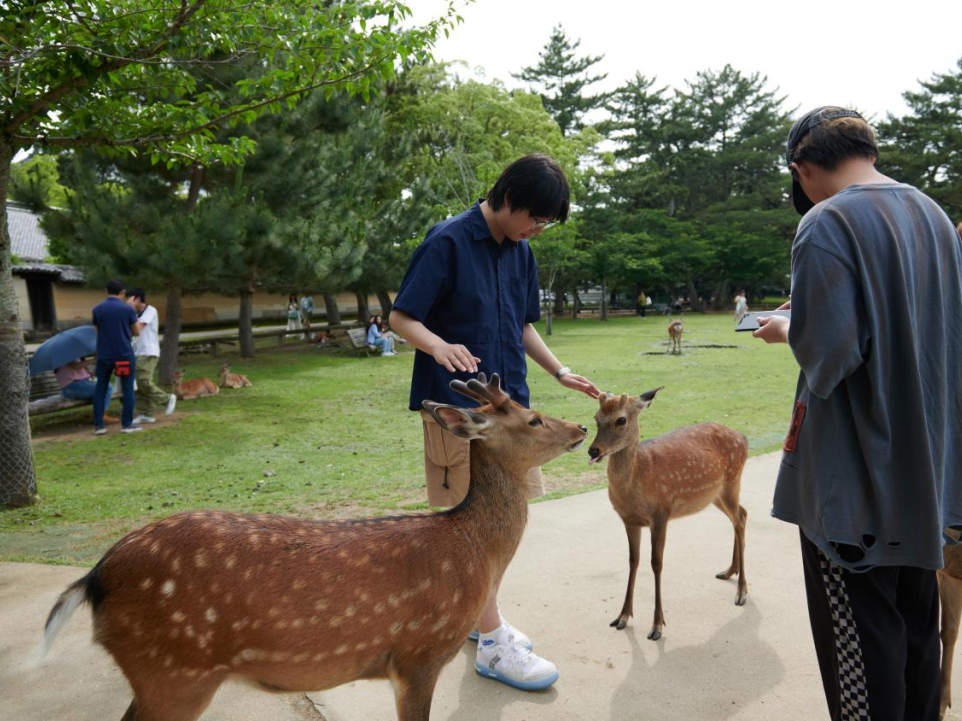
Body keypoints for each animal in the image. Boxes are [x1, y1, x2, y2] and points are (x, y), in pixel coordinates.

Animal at [39, 374, 584, 716]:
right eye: (534, 419)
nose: (580, 426)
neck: (474, 550)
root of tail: (94, 578)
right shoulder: (417, 653)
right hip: (172, 671)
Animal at [584, 386, 752, 640]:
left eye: (621, 420)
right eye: (596, 418)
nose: (594, 450)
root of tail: (743, 438)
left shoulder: (661, 513)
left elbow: (656, 563)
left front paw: (657, 625)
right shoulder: (629, 520)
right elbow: (633, 560)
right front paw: (622, 616)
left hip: (732, 480)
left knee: (740, 519)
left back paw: (742, 591)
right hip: (715, 494)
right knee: (741, 514)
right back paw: (729, 571)